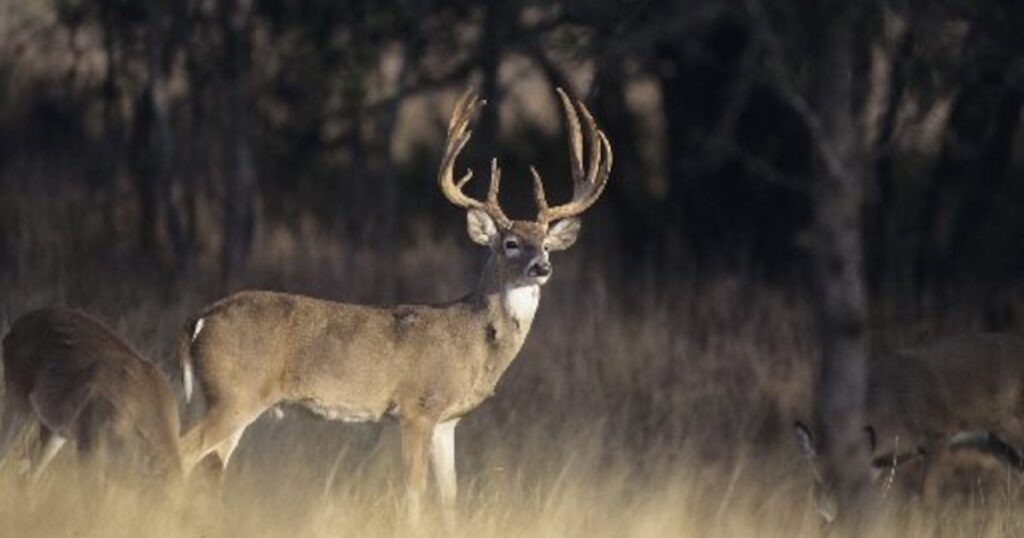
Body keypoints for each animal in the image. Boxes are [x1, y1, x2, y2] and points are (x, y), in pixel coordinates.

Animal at [176, 87, 612, 524]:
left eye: (546, 244)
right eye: (511, 243)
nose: (542, 267)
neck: (472, 340)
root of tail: (198, 321)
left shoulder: (447, 422)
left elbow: (450, 497)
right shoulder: (416, 407)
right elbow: (414, 492)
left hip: (222, 398)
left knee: (210, 464)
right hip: (236, 393)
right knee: (184, 451)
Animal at [793, 332, 1024, 523]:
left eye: (848, 481)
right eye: (816, 478)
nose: (826, 514)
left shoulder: (938, 433)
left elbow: (927, 498)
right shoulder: (877, 462)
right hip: (997, 443)